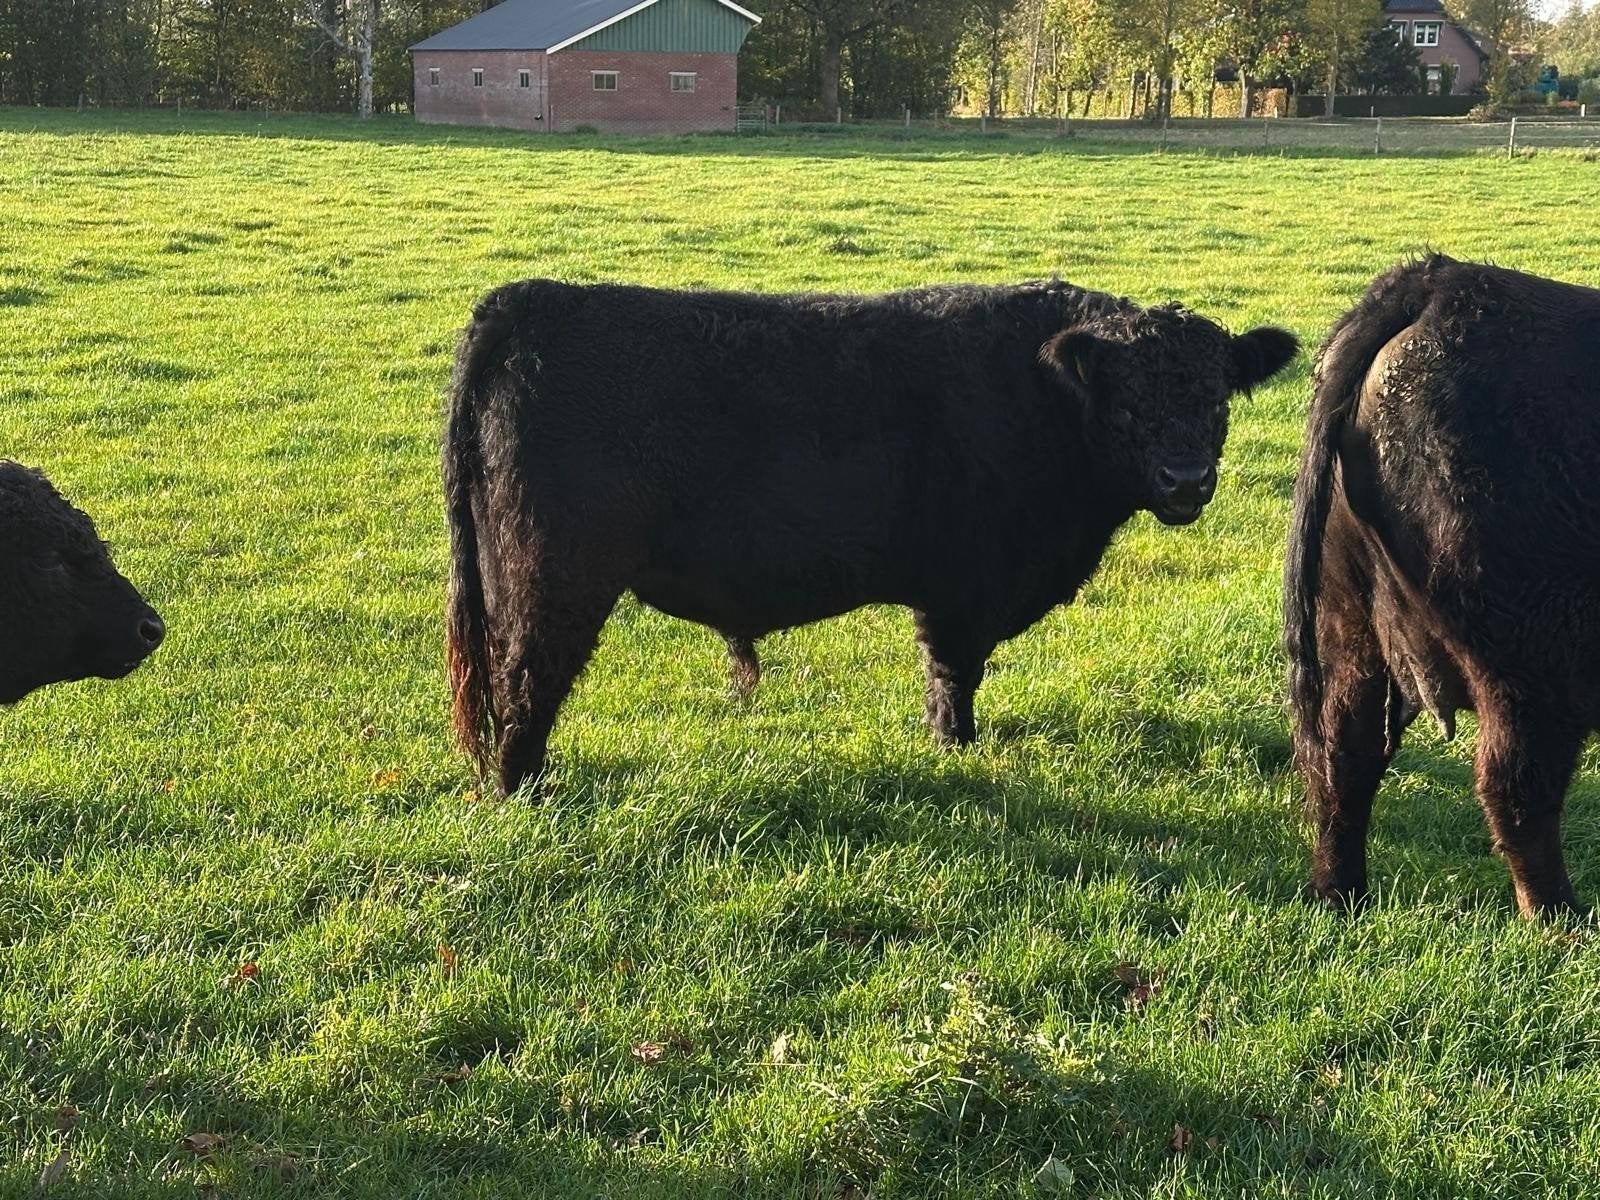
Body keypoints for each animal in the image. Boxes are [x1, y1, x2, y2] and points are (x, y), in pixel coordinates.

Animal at [444, 278, 1298, 796]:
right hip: (555, 573)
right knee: (529, 681)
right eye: (1127, 403)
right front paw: (956, 751)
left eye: (1218, 396)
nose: (1186, 480)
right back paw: (525, 792)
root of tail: (528, 299)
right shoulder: (966, 586)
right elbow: (954, 675)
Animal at [1286, 255, 1600, 917]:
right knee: (1516, 789)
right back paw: (1562, 918)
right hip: (1530, 670)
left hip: (1351, 628)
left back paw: (1341, 894)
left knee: (1343, 756)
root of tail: (1437, 283)